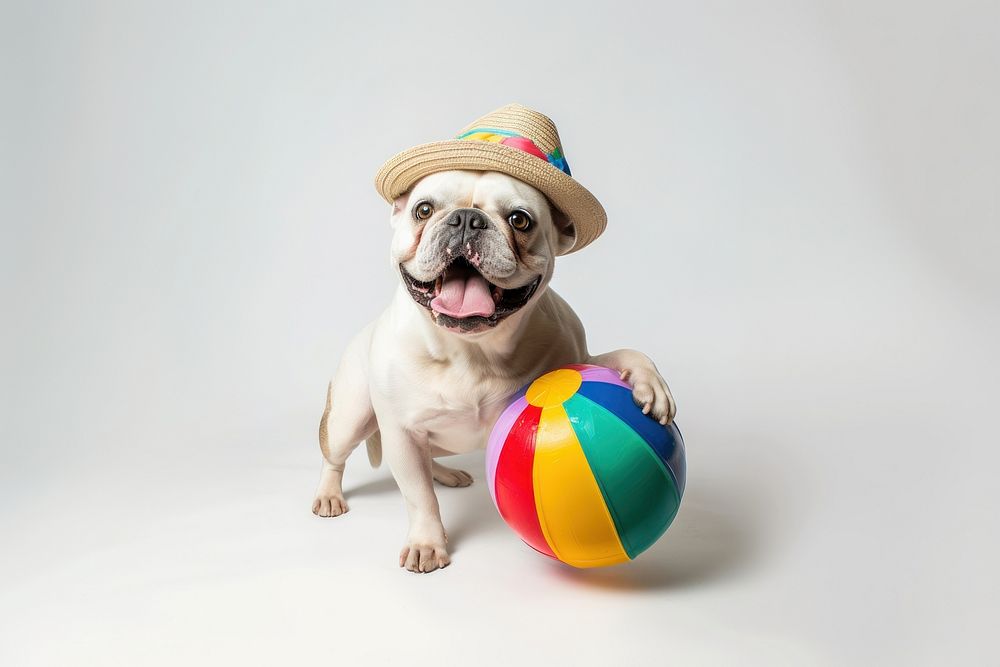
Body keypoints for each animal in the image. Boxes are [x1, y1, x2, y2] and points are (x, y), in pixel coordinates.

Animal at [312, 105, 676, 576]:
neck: (472, 350)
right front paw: (428, 542)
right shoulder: (402, 433)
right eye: (423, 209)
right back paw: (329, 495)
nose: (467, 218)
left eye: (520, 220)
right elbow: (419, 498)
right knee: (336, 456)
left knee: (430, 459)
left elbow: (625, 352)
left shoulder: (580, 354)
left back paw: (446, 474)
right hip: (351, 415)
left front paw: (651, 385)